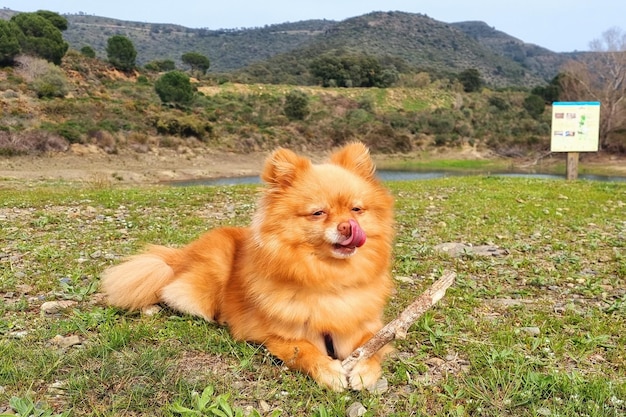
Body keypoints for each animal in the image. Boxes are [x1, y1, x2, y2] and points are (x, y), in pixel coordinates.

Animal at [102, 141, 394, 390]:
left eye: (356, 210)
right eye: (318, 213)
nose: (348, 226)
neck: (329, 277)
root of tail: (181, 255)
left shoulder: (364, 327)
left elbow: (372, 347)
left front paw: (364, 371)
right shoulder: (272, 334)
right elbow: (303, 349)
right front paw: (327, 370)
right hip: (206, 280)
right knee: (170, 291)